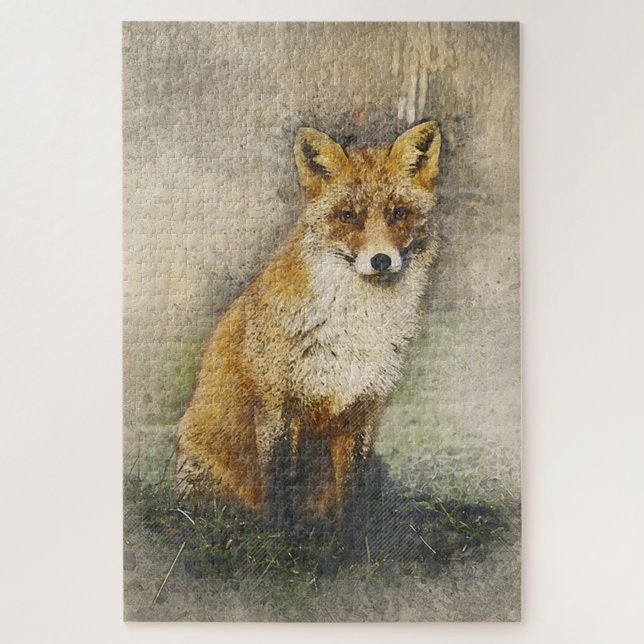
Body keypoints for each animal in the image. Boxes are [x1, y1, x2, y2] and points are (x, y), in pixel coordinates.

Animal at [177, 120, 442, 524]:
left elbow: (352, 491)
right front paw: (279, 537)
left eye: (399, 213)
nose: (380, 260)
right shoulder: (277, 406)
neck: (357, 327)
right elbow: (280, 485)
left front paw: (354, 538)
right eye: (347, 216)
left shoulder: (362, 411)